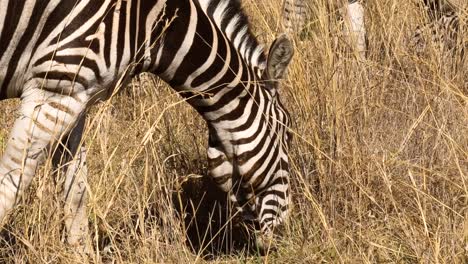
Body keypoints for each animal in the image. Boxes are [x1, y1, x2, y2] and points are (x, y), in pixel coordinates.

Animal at [0, 0, 292, 251]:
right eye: (288, 133)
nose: (282, 236)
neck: (152, 23)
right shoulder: (52, 90)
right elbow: (10, 185)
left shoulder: (75, 96)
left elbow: (75, 189)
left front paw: (80, 252)